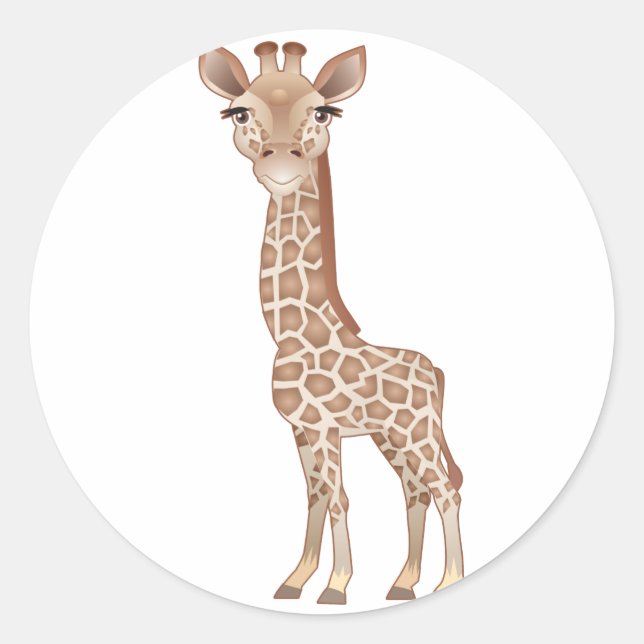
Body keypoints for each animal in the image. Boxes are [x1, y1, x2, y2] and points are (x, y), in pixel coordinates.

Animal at [199, 41, 464, 605]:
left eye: (323, 112)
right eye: (239, 112)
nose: (281, 163)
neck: (292, 332)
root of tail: (435, 371)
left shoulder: (323, 428)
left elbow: (339, 496)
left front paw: (336, 588)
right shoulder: (300, 429)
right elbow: (316, 495)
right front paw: (293, 581)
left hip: (417, 432)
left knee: (445, 485)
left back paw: (448, 579)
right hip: (391, 436)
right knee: (414, 489)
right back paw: (403, 583)